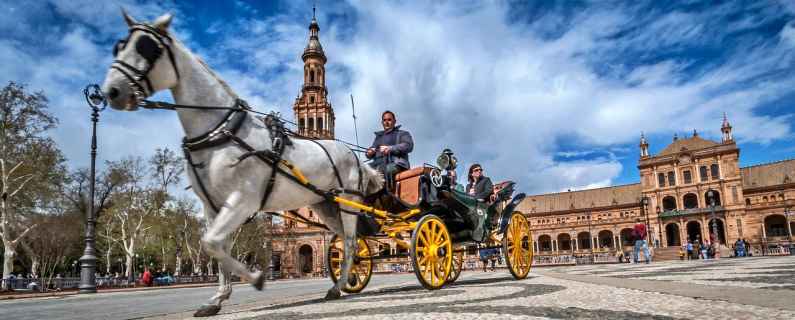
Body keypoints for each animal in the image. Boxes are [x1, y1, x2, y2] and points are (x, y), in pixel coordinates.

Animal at [101, 11, 384, 316]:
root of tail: (354, 157)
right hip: (326, 205)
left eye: (147, 48)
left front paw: (255, 278)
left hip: (347, 202)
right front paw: (218, 298)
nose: (112, 91)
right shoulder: (213, 207)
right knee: (347, 241)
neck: (221, 131)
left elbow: (212, 243)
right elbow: (215, 246)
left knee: (352, 242)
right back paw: (344, 282)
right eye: (119, 46)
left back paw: (338, 286)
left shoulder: (243, 200)